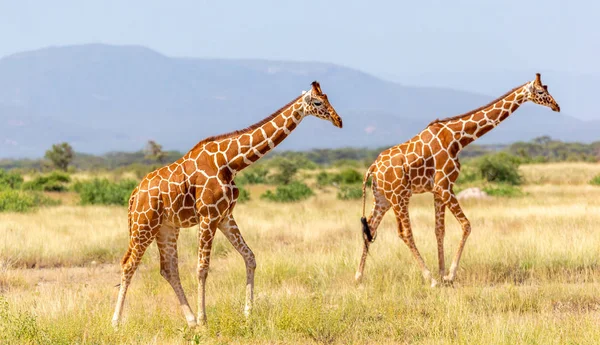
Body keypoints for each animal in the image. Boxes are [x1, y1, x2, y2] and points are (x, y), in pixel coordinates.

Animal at [109, 80, 340, 326]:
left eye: (327, 98)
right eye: (317, 102)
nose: (338, 120)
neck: (230, 162)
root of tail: (135, 193)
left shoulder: (225, 216)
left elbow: (250, 257)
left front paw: (247, 312)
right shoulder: (208, 215)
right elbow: (202, 268)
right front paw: (204, 319)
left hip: (166, 228)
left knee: (168, 269)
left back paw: (189, 320)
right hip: (144, 224)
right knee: (129, 264)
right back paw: (116, 322)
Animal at [354, 74, 560, 286]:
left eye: (547, 88)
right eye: (541, 91)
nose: (556, 106)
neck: (458, 138)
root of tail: (372, 168)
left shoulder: (438, 189)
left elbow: (439, 230)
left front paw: (443, 273)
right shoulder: (444, 185)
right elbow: (466, 225)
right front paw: (449, 275)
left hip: (382, 198)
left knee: (370, 228)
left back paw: (358, 277)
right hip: (399, 196)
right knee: (405, 233)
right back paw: (429, 279)